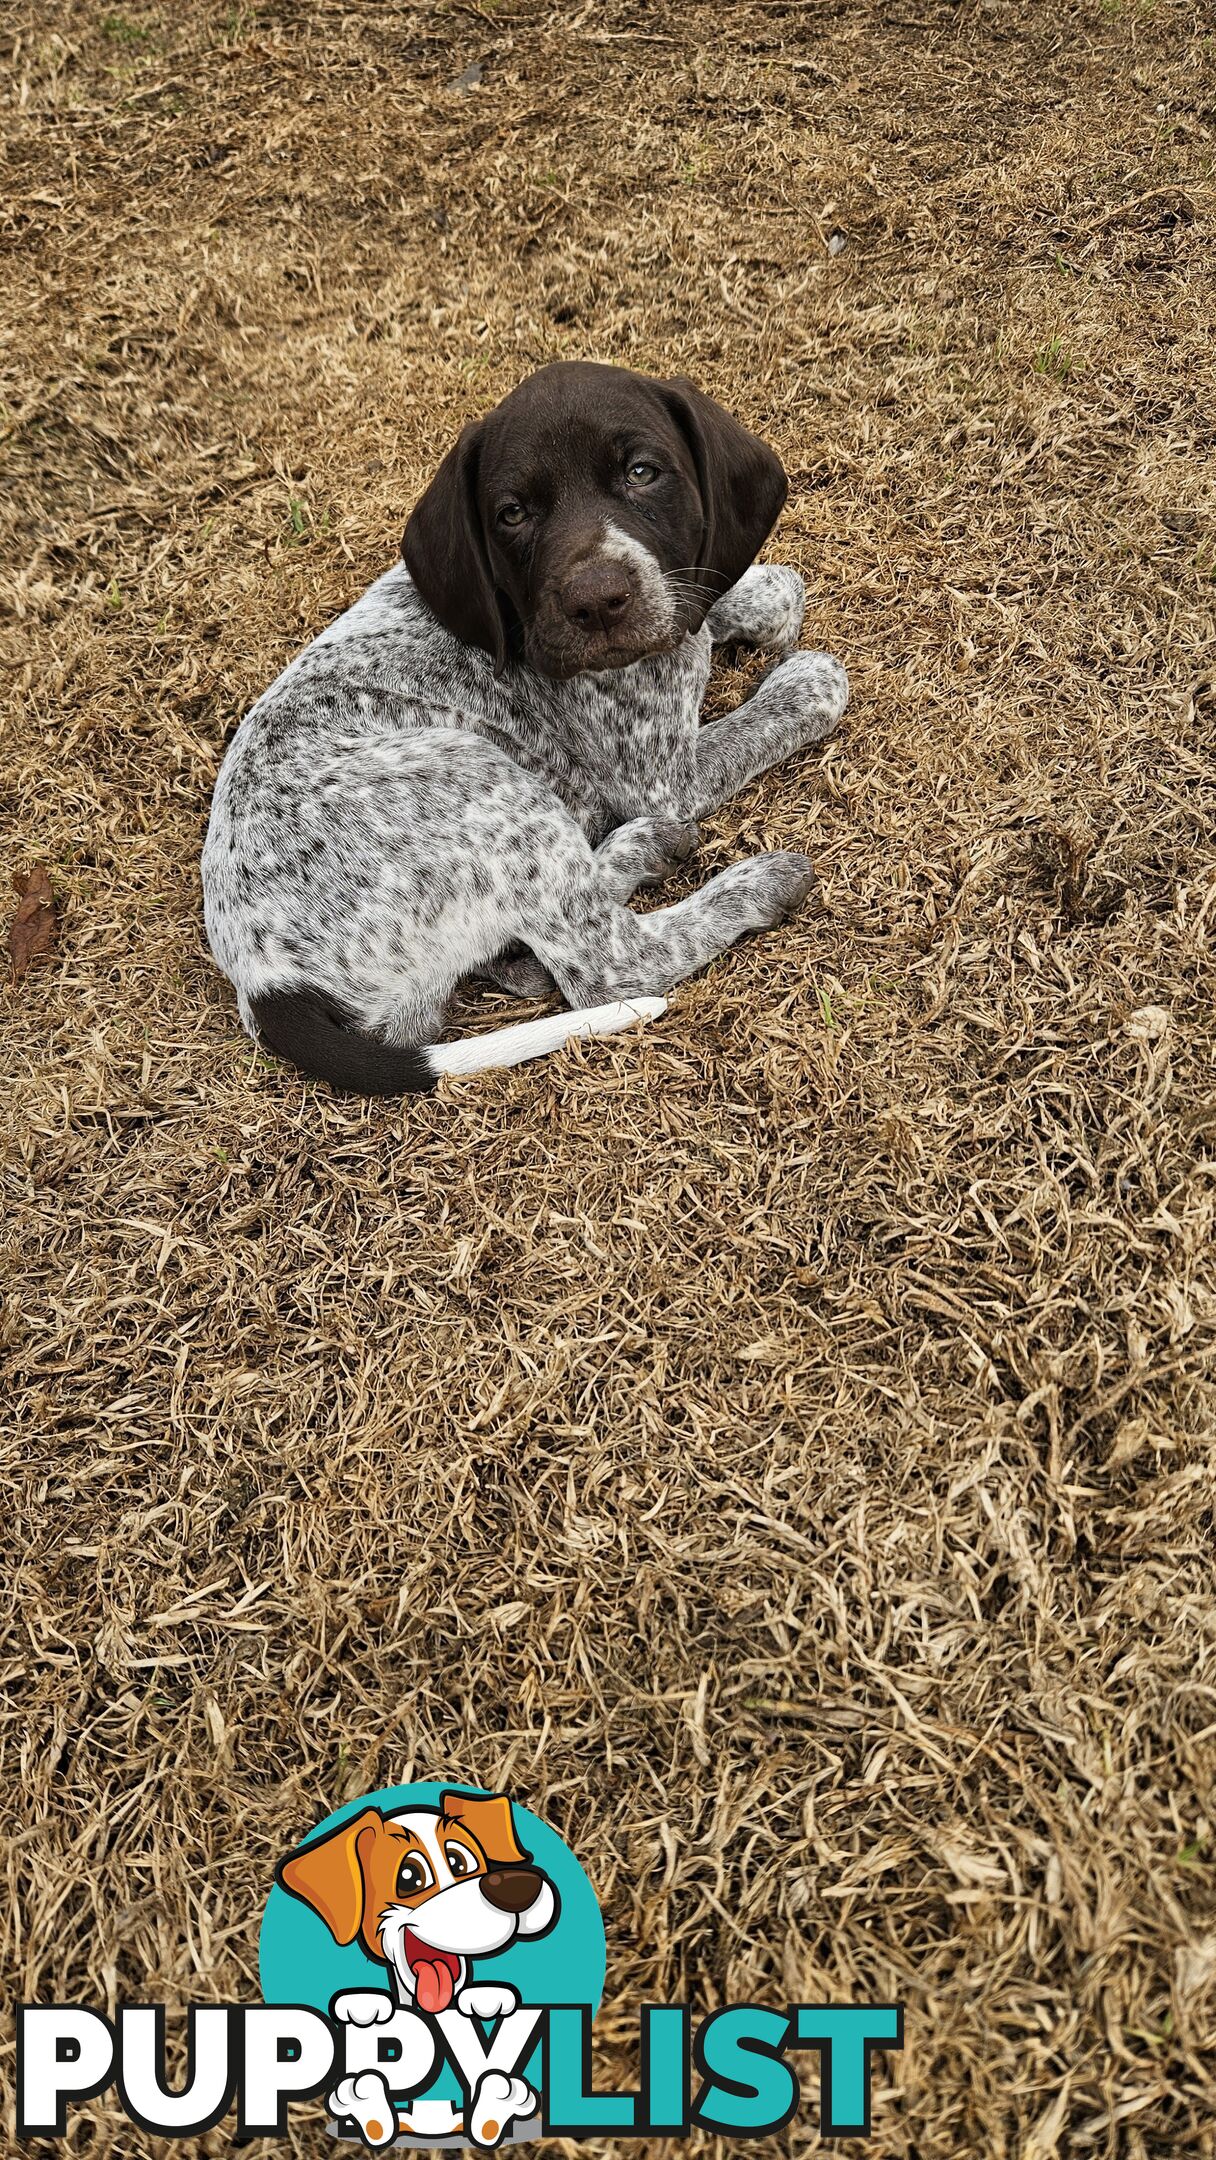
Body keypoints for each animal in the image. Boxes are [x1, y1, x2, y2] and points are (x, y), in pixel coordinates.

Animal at [201, 365, 846, 1097]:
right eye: (512, 514)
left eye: (642, 473)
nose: (597, 601)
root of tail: (266, 985)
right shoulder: (665, 777)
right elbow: (802, 691)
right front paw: (800, 674)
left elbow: (755, 587)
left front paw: (753, 610)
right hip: (479, 778)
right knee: (613, 967)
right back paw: (747, 880)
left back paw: (637, 850)